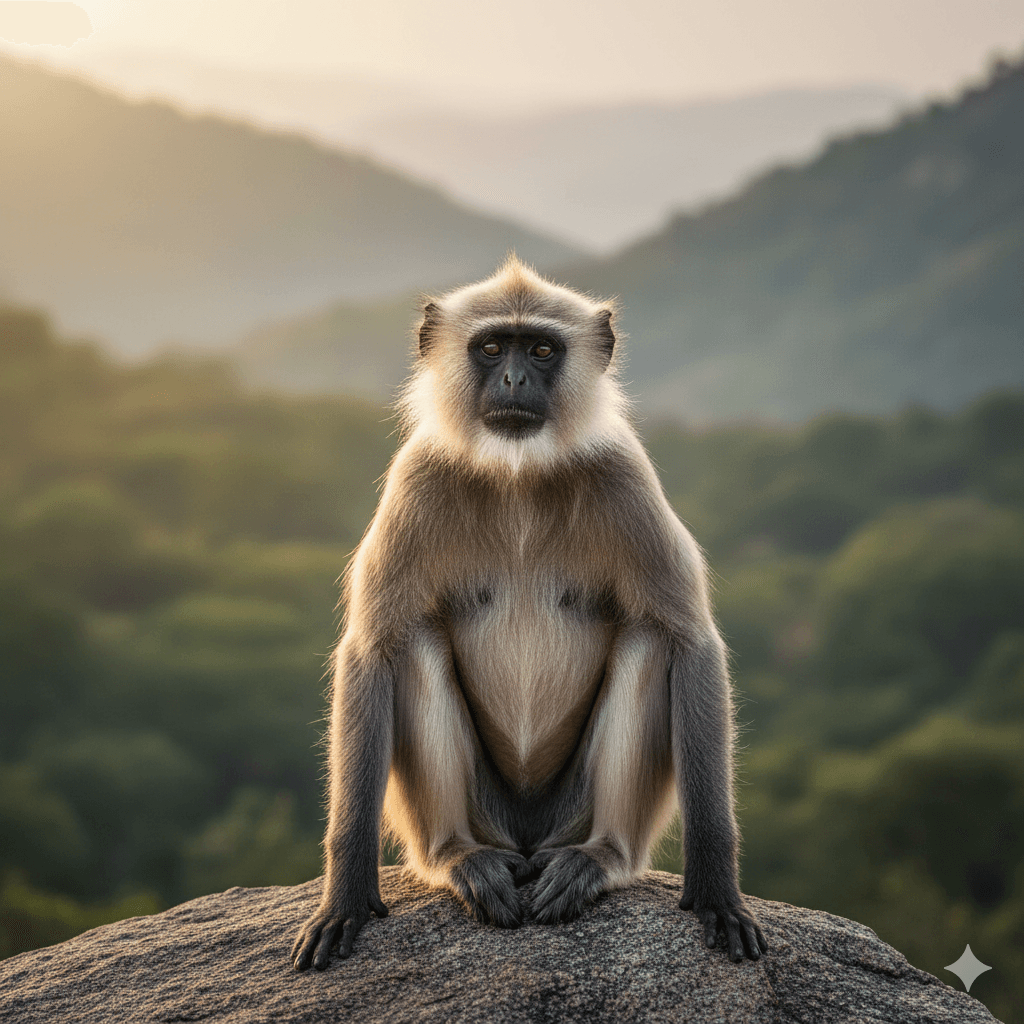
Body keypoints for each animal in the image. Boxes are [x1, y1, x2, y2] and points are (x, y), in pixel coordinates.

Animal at [291, 255, 767, 971]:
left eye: (541, 350)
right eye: (492, 348)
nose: (515, 379)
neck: (517, 474)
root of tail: (526, 844)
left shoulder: (624, 474)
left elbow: (691, 642)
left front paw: (716, 891)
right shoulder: (417, 476)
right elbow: (372, 647)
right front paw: (345, 896)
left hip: (569, 814)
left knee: (649, 641)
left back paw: (597, 859)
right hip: (483, 814)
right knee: (415, 643)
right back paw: (460, 857)